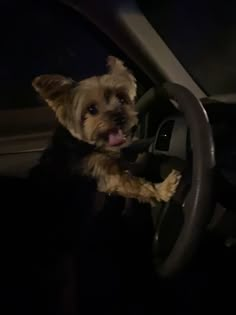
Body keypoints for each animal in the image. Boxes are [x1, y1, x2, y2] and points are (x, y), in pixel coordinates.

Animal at [31, 56, 181, 205]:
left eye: (122, 99)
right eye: (91, 109)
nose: (119, 117)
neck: (86, 144)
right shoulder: (102, 171)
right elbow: (136, 184)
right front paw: (163, 189)